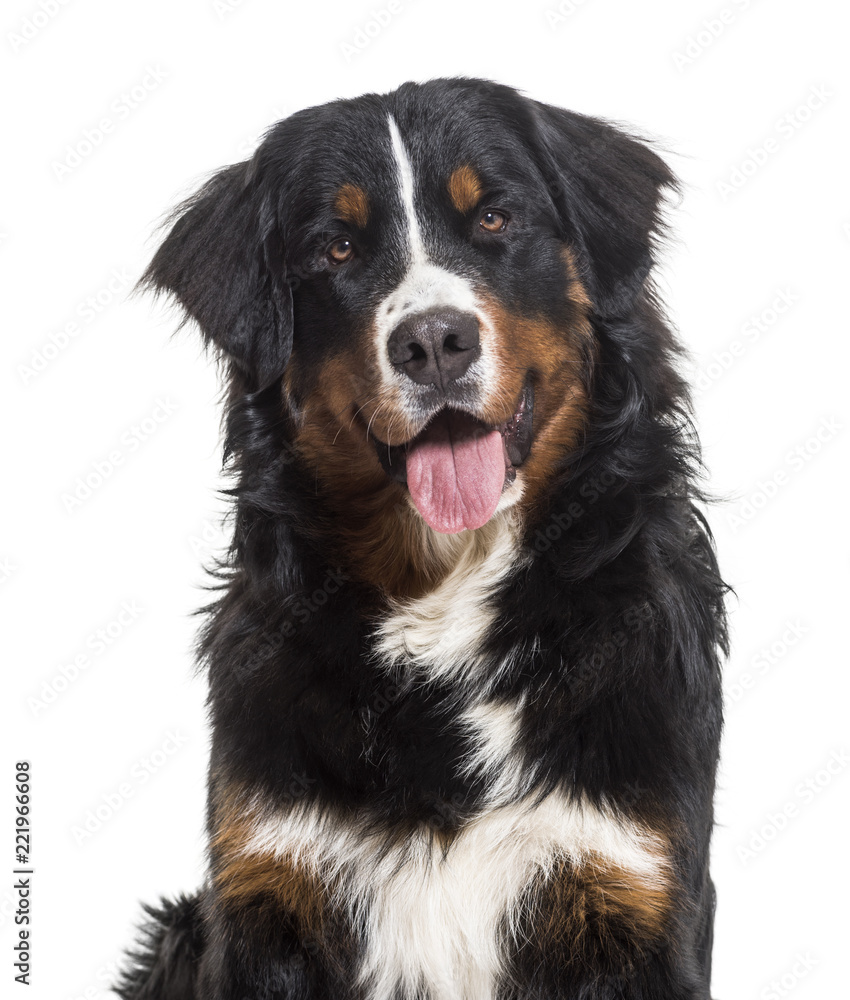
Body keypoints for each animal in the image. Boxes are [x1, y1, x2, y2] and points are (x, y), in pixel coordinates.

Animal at [117, 78, 728, 1000]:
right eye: (335, 248)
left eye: (495, 220)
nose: (434, 341)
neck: (445, 592)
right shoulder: (273, 885)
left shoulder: (624, 880)